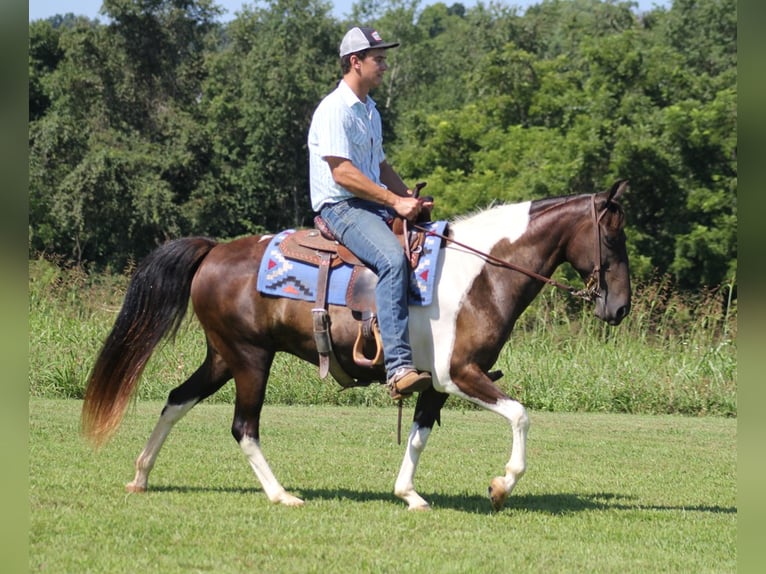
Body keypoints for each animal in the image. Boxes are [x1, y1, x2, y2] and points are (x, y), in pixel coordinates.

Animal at [81, 181, 632, 512]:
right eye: (614, 236)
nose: (621, 307)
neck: (480, 274)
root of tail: (213, 250)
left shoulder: (435, 383)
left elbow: (419, 435)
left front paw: (409, 494)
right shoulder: (461, 373)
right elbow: (520, 414)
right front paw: (501, 486)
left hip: (222, 356)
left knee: (176, 400)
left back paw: (141, 475)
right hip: (251, 359)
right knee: (243, 427)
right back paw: (281, 494)